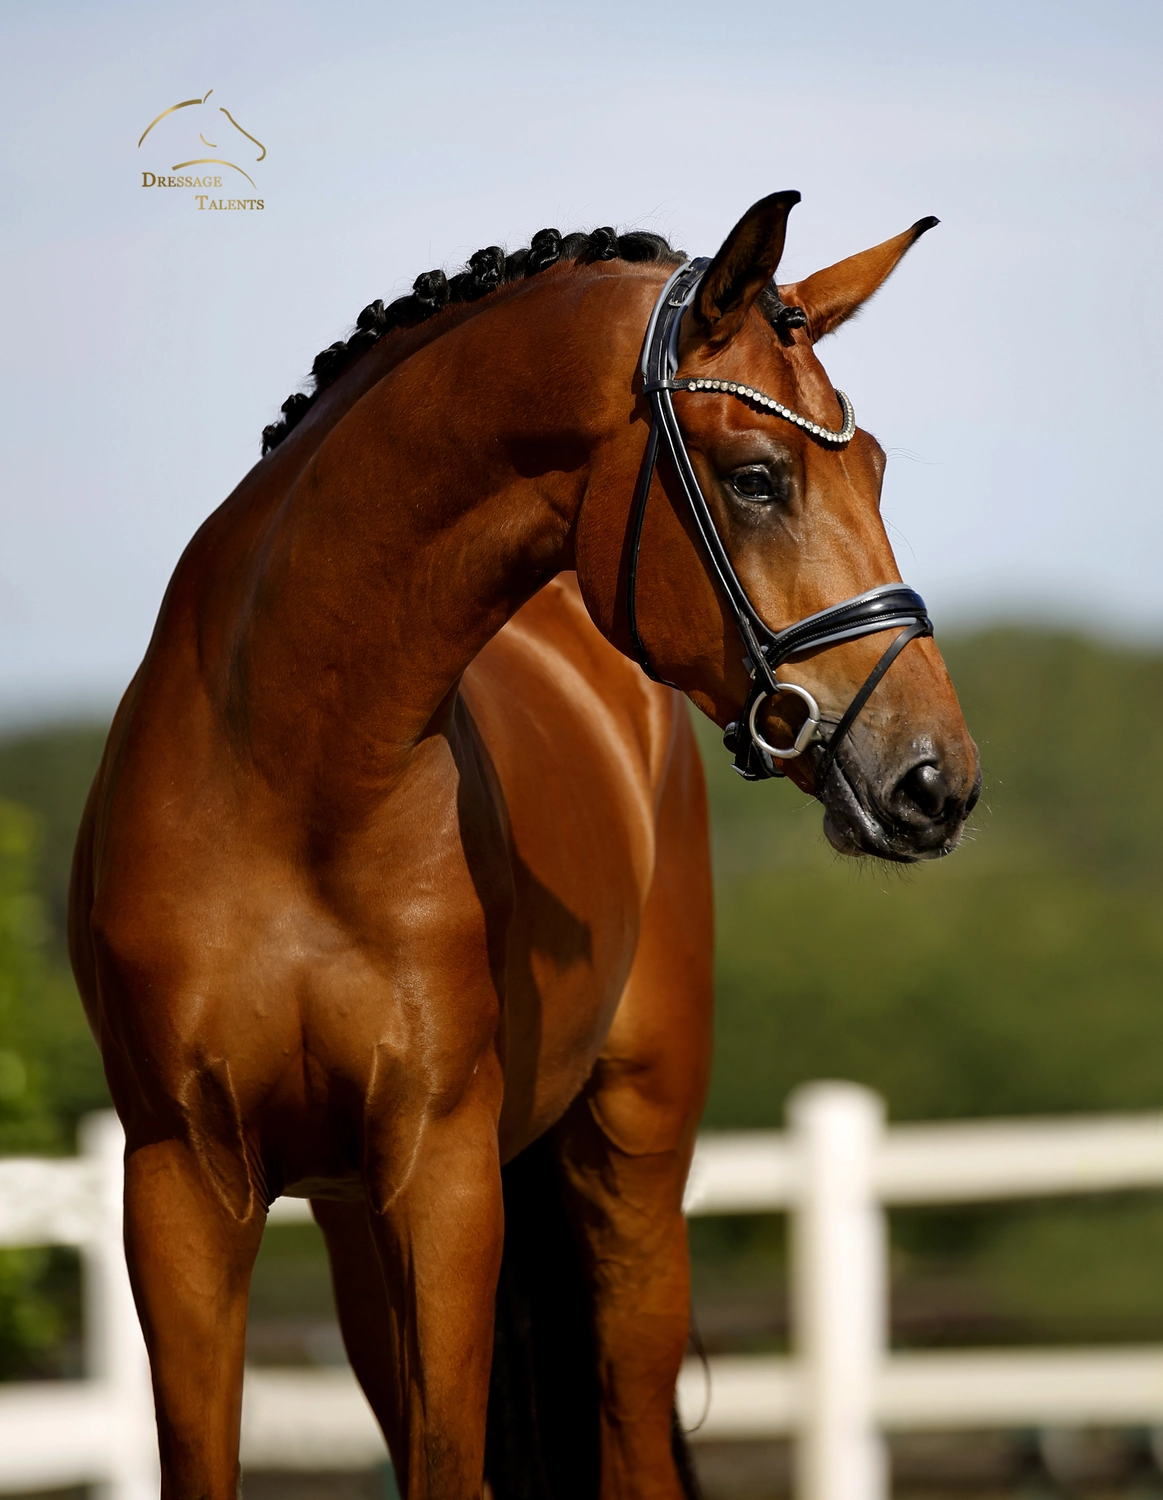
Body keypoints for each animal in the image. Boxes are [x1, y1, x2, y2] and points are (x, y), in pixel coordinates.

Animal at [68, 193, 980, 1500]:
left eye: (877, 468)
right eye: (756, 478)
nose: (933, 781)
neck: (286, 779)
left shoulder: (440, 1173)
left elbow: (456, 1466)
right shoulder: (182, 1188)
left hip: (632, 1169)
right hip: (353, 1228)